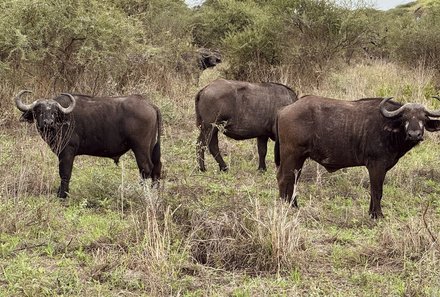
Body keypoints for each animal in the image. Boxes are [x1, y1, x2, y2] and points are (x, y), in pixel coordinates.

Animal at [15, 89, 164, 197]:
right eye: (38, 110)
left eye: (54, 111)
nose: (48, 123)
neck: (62, 122)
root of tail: (150, 105)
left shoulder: (67, 152)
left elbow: (65, 173)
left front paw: (62, 195)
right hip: (152, 147)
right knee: (156, 168)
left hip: (140, 148)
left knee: (146, 169)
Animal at [276, 95, 440, 217]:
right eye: (405, 118)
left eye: (423, 118)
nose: (414, 135)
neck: (388, 128)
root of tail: (283, 109)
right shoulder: (376, 166)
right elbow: (377, 190)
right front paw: (378, 215)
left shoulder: (381, 168)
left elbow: (374, 191)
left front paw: (371, 213)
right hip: (291, 155)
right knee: (284, 178)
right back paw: (287, 206)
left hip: (299, 158)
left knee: (293, 179)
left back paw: (294, 205)